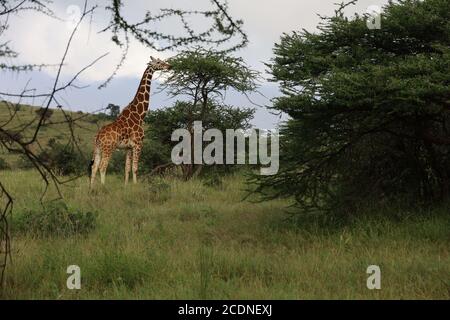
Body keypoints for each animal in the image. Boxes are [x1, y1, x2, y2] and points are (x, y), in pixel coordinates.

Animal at [89, 56, 171, 189]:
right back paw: (103, 187)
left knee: (94, 167)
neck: (139, 114)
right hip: (108, 148)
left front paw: (126, 187)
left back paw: (91, 189)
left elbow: (127, 168)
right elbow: (135, 168)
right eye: (158, 62)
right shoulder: (138, 144)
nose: (169, 66)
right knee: (102, 167)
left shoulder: (128, 147)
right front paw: (135, 186)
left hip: (97, 149)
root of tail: (98, 136)